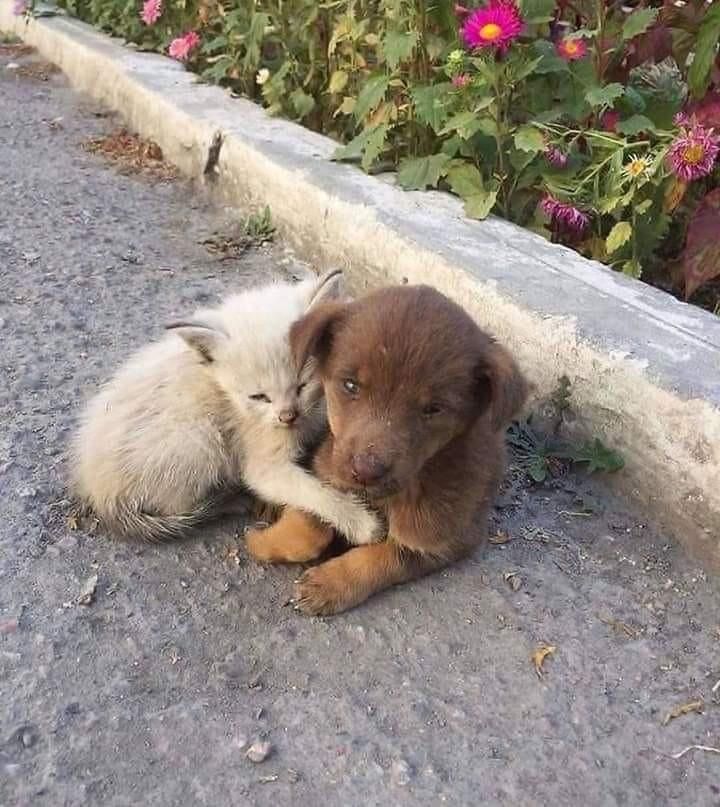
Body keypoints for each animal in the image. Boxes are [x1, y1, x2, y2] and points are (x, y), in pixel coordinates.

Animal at [250, 288, 524, 616]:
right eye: (350, 385)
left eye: (434, 409)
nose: (365, 472)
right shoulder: (326, 466)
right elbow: (310, 522)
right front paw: (262, 541)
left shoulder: (443, 538)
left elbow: (382, 557)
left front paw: (329, 584)